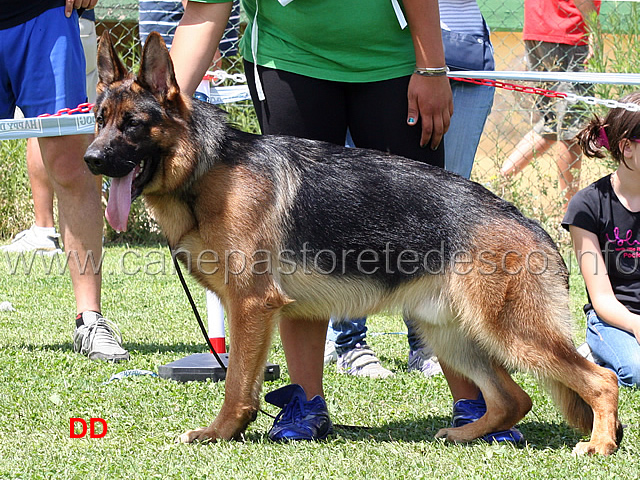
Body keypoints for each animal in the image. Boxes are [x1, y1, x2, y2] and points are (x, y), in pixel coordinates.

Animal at [84, 32, 620, 454]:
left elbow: (236, 383)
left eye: (133, 125)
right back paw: (464, 435)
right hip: (451, 333)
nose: (90, 159)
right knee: (514, 398)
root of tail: (529, 223)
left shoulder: (251, 306)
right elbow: (248, 382)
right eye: (98, 120)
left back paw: (598, 445)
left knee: (602, 379)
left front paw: (219, 433)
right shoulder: (257, 310)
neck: (205, 167)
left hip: (511, 332)